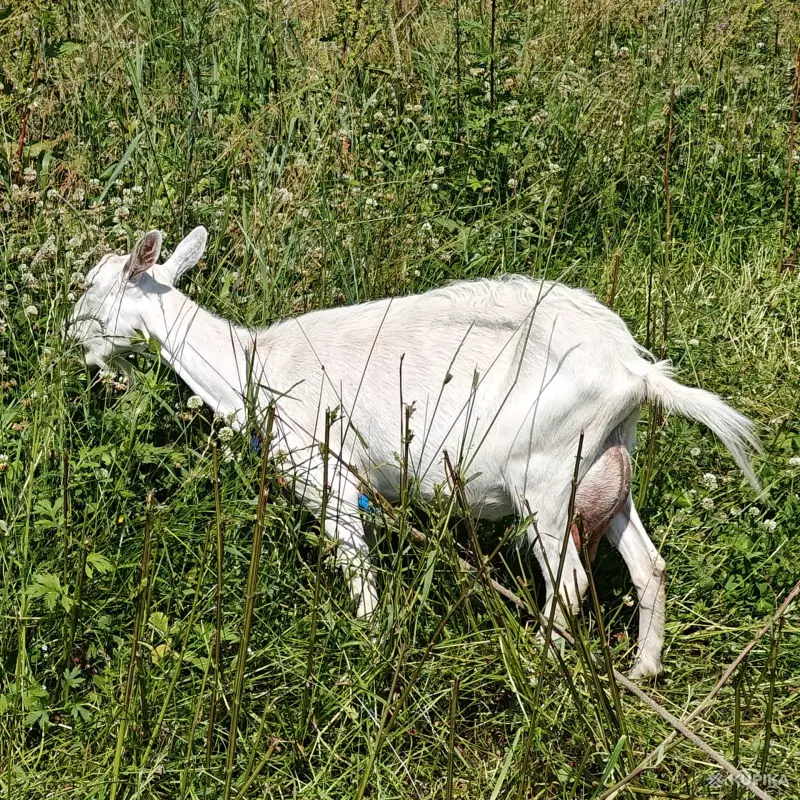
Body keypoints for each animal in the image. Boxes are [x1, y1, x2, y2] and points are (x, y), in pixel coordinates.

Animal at [67, 227, 760, 678]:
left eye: (91, 285)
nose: (72, 338)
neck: (251, 366)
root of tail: (634, 373)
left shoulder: (328, 474)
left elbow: (358, 570)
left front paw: (370, 651)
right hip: (607, 465)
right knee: (649, 564)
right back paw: (643, 672)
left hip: (545, 473)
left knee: (569, 581)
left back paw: (539, 670)